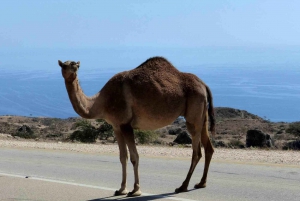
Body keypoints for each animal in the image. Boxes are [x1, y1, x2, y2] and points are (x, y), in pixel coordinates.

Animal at [57, 56, 214, 196]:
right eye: (63, 65)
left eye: (74, 64)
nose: (74, 65)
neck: (102, 102)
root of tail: (204, 85)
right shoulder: (116, 126)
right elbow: (122, 157)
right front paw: (121, 189)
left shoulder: (126, 125)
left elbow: (134, 157)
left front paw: (135, 190)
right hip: (202, 115)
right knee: (208, 148)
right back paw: (201, 183)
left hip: (193, 114)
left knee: (197, 152)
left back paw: (183, 186)